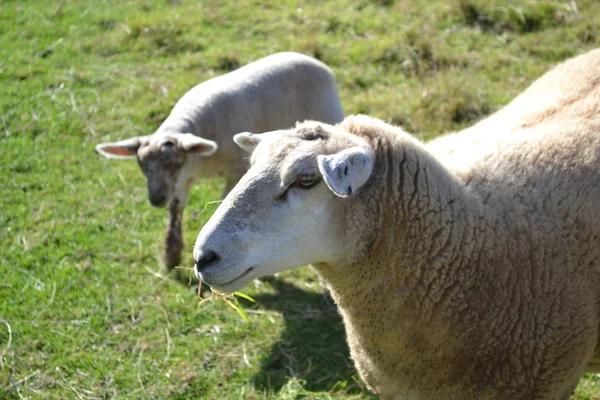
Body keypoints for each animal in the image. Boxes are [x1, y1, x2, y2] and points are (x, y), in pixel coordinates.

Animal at [96, 50, 344, 268]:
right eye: (141, 164)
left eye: (175, 163)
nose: (156, 199)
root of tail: (311, 59)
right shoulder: (182, 180)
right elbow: (175, 209)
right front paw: (171, 255)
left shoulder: (232, 171)